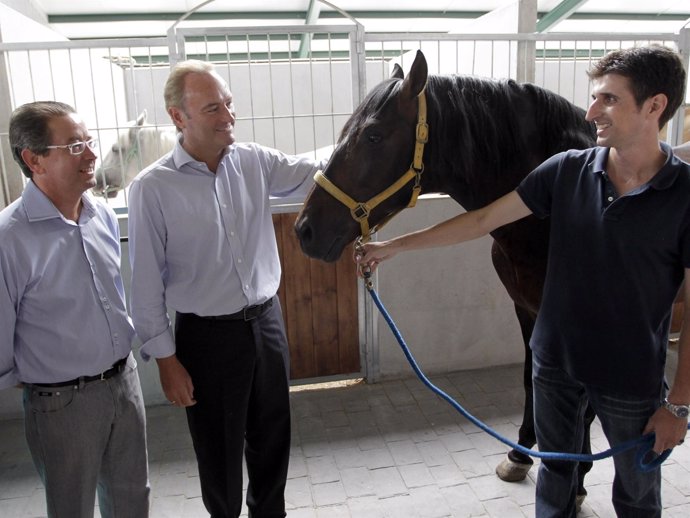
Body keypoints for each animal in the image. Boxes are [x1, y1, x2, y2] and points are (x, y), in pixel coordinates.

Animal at [296, 51, 596, 500]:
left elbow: (585, 405)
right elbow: (531, 381)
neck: (546, 209)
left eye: (373, 136)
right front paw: (521, 455)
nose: (304, 230)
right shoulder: (527, 309)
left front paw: (576, 481)